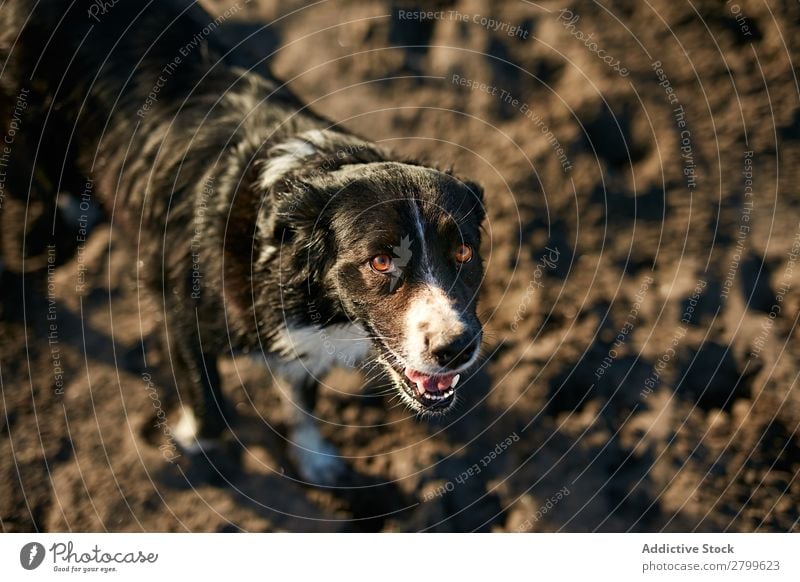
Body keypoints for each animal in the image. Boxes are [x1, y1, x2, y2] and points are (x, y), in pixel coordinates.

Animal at [0, 0, 484, 484]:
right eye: (381, 262)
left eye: (464, 253)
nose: (457, 349)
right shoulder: (180, 310)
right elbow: (211, 407)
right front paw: (187, 444)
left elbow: (302, 398)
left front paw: (312, 457)